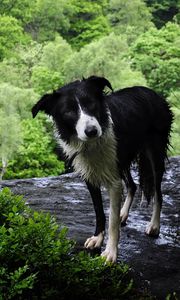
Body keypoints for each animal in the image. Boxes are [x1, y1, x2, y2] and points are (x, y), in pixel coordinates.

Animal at [32, 75, 173, 262]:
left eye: (91, 104)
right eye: (68, 111)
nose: (91, 131)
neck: (92, 144)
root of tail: (152, 92)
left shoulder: (114, 181)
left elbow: (112, 219)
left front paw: (110, 253)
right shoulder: (90, 176)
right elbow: (99, 211)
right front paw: (97, 238)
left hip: (154, 153)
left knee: (158, 193)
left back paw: (154, 226)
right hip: (122, 159)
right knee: (132, 185)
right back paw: (123, 214)